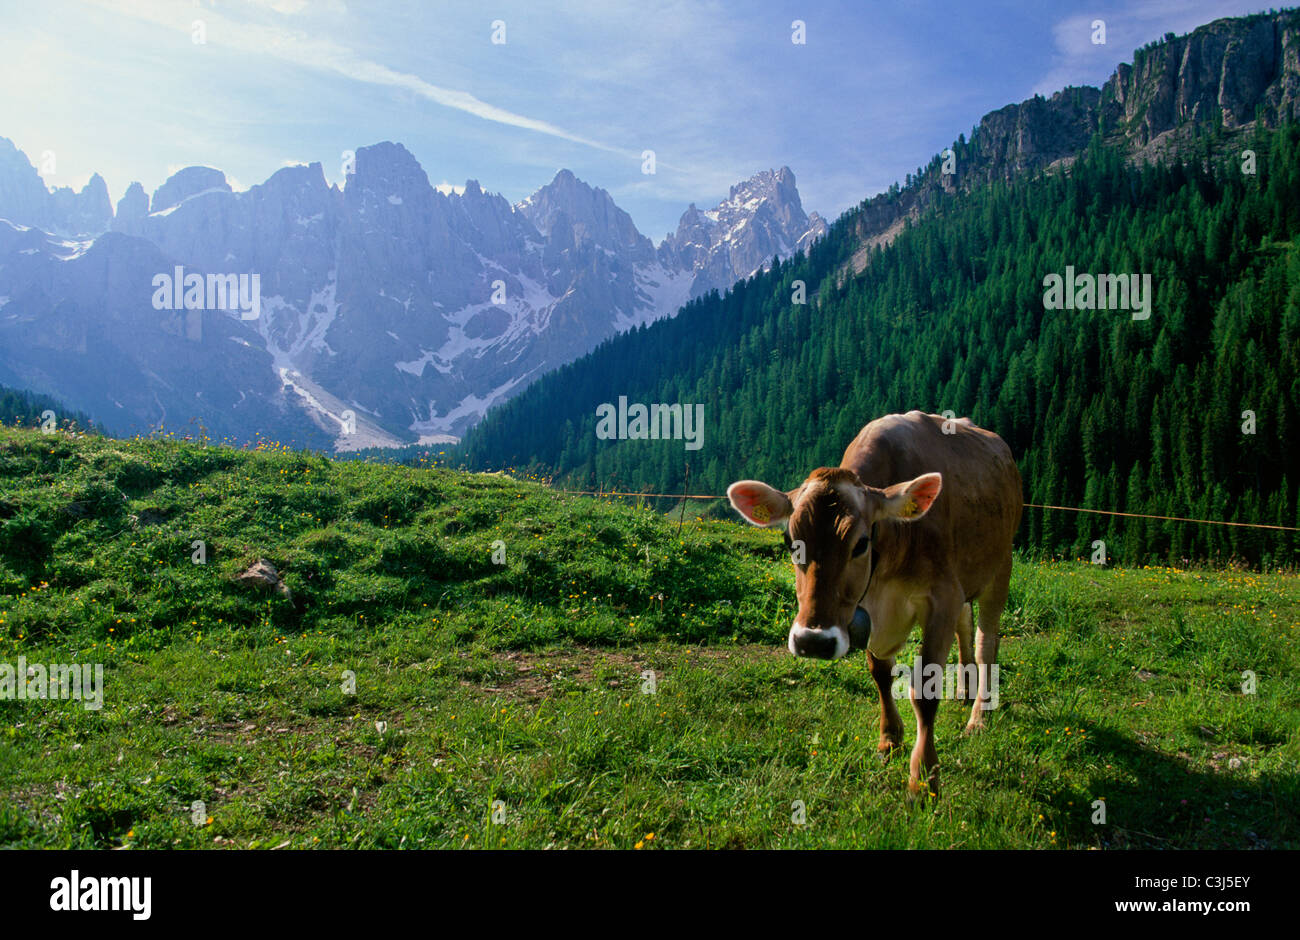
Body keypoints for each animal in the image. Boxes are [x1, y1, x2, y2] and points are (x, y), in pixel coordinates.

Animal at [727, 410, 1022, 798]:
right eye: (790, 541)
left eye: (861, 543)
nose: (813, 642)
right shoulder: (870, 604)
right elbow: (880, 672)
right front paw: (889, 739)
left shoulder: (942, 595)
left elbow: (923, 691)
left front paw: (922, 778)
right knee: (965, 624)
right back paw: (964, 689)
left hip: (1000, 567)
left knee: (987, 641)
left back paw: (979, 717)